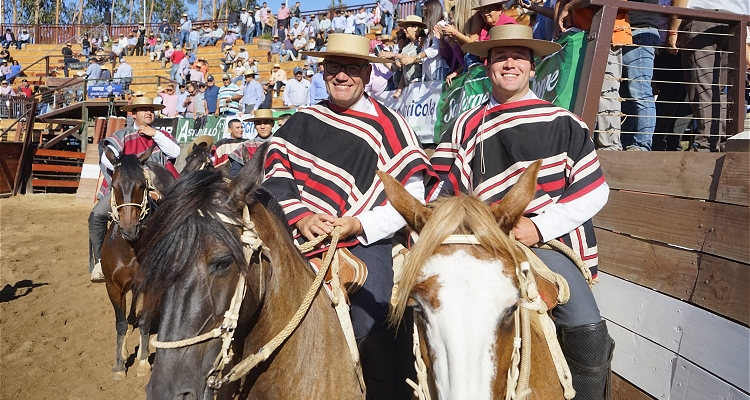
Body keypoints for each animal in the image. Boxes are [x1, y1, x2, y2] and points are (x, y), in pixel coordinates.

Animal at [100, 148, 177, 380]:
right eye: (114, 186)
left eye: (141, 186)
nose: (129, 229)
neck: (130, 247)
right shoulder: (113, 287)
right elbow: (120, 324)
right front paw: (120, 363)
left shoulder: (151, 285)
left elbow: (145, 322)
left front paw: (143, 362)